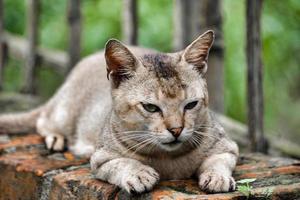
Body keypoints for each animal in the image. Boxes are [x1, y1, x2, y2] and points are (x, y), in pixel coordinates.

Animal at [0, 30, 239, 195]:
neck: (170, 161)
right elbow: (122, 162)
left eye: (191, 105)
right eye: (151, 107)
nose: (176, 130)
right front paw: (139, 173)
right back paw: (55, 138)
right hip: (64, 113)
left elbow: (217, 160)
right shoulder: (100, 159)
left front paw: (217, 177)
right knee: (43, 120)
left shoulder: (227, 147)